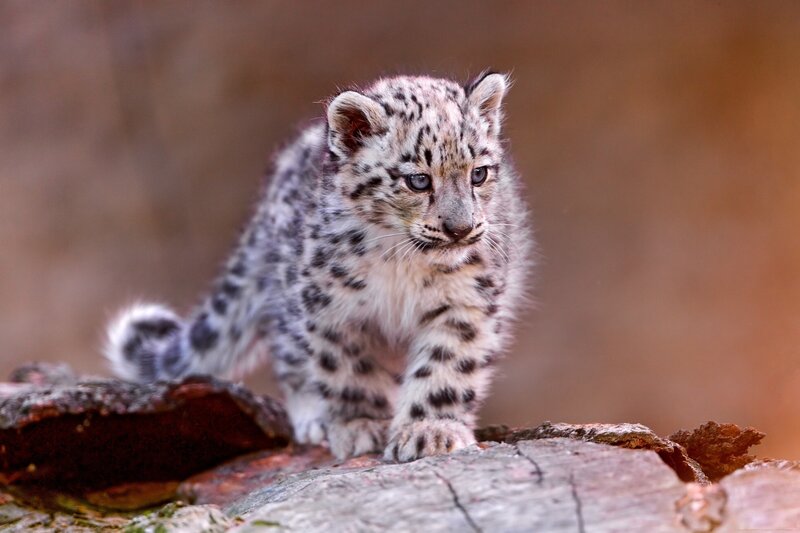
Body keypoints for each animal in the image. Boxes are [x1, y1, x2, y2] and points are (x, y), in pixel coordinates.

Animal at [105, 72, 533, 462]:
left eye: (478, 173)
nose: (460, 229)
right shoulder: (332, 308)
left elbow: (445, 366)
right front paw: (362, 425)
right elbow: (347, 370)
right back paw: (314, 419)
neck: (402, 264)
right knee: (288, 354)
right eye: (417, 180)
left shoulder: (464, 304)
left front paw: (429, 430)